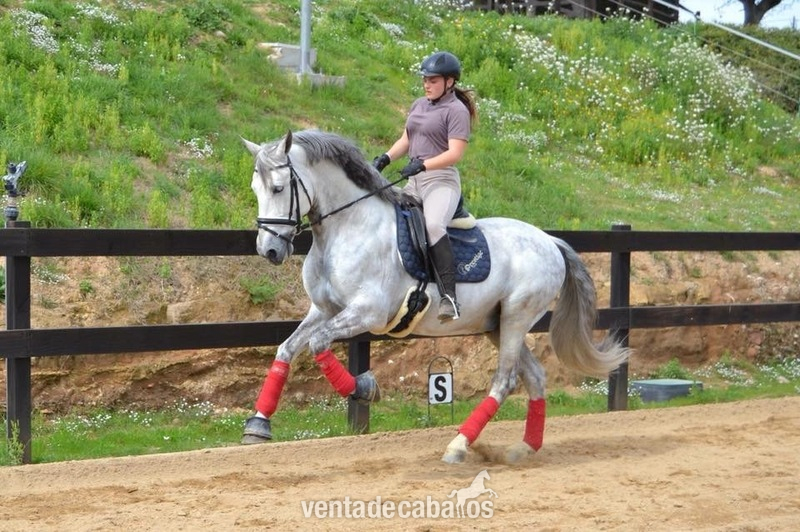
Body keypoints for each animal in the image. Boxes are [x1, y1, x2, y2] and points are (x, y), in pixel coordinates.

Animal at [239, 129, 629, 463]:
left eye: (278, 188)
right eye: (255, 189)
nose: (269, 250)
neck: (347, 227)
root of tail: (550, 240)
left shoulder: (367, 313)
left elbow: (318, 343)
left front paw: (366, 387)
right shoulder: (323, 309)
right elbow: (287, 348)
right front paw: (258, 424)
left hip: (517, 318)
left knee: (505, 381)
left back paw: (459, 445)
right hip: (498, 325)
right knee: (534, 377)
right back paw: (523, 448)